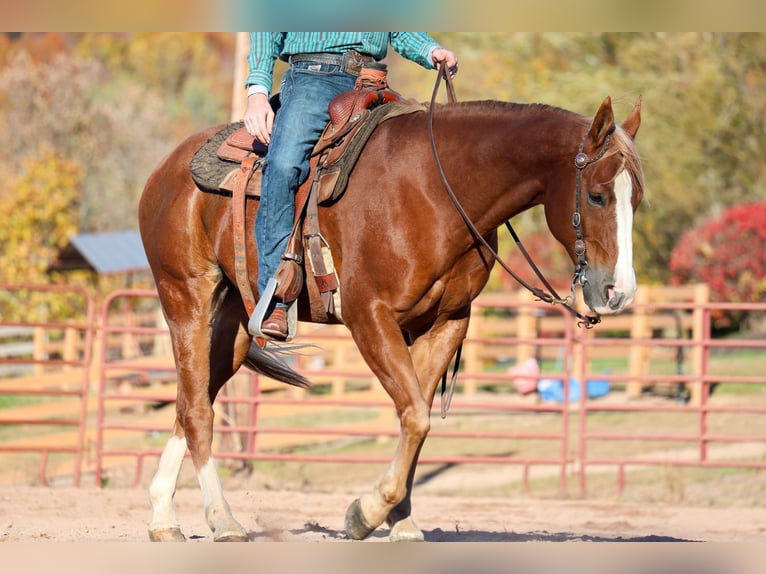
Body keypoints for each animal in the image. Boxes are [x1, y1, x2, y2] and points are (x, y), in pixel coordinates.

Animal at [138, 92, 644, 542]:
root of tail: (164, 169)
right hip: (186, 298)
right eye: (597, 196)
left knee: (191, 401)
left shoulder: (445, 323)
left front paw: (400, 521)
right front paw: (366, 513)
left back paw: (163, 516)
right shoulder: (370, 316)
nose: (619, 292)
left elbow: (414, 419)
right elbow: (416, 416)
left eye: (636, 199)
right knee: (198, 409)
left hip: (237, 321)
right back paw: (222, 520)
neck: (438, 190)